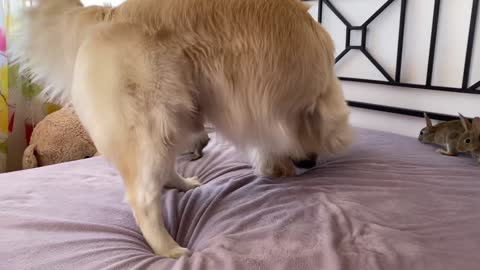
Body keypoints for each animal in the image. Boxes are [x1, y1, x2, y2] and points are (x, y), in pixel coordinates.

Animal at [12, 0, 352, 258]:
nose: (309, 163)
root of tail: (110, 14)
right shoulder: (275, 100)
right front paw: (281, 164)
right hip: (152, 121)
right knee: (143, 197)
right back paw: (170, 250)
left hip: (175, 118)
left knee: (164, 169)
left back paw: (184, 184)